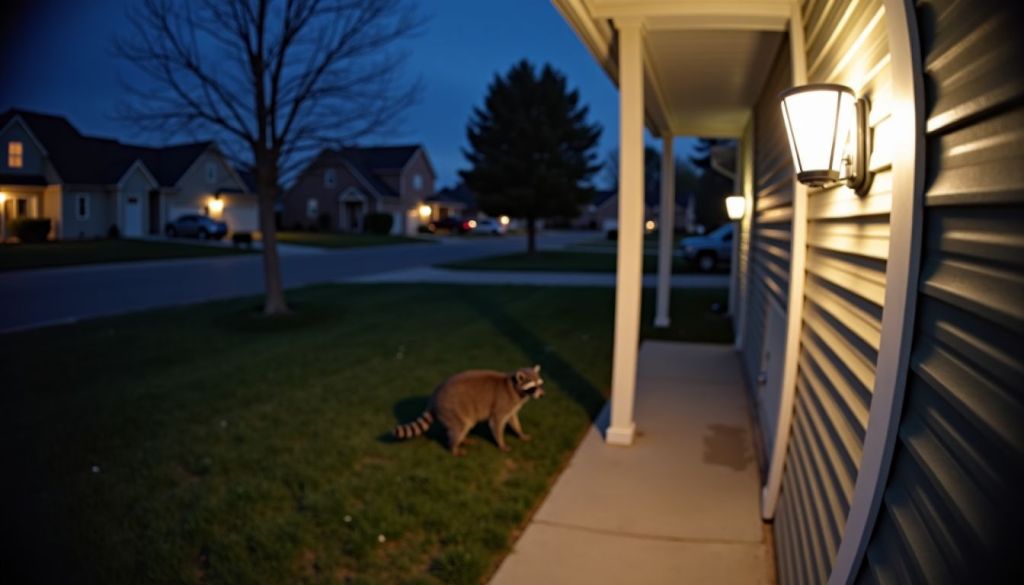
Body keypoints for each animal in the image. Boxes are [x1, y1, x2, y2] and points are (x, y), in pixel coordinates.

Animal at [395, 366, 548, 456]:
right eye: (533, 387)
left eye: (540, 384)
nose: (542, 395)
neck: (515, 387)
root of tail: (435, 396)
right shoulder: (503, 404)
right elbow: (496, 423)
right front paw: (501, 444)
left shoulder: (512, 407)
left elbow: (513, 420)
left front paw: (520, 433)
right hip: (451, 409)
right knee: (460, 427)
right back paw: (453, 447)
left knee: (463, 426)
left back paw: (463, 440)